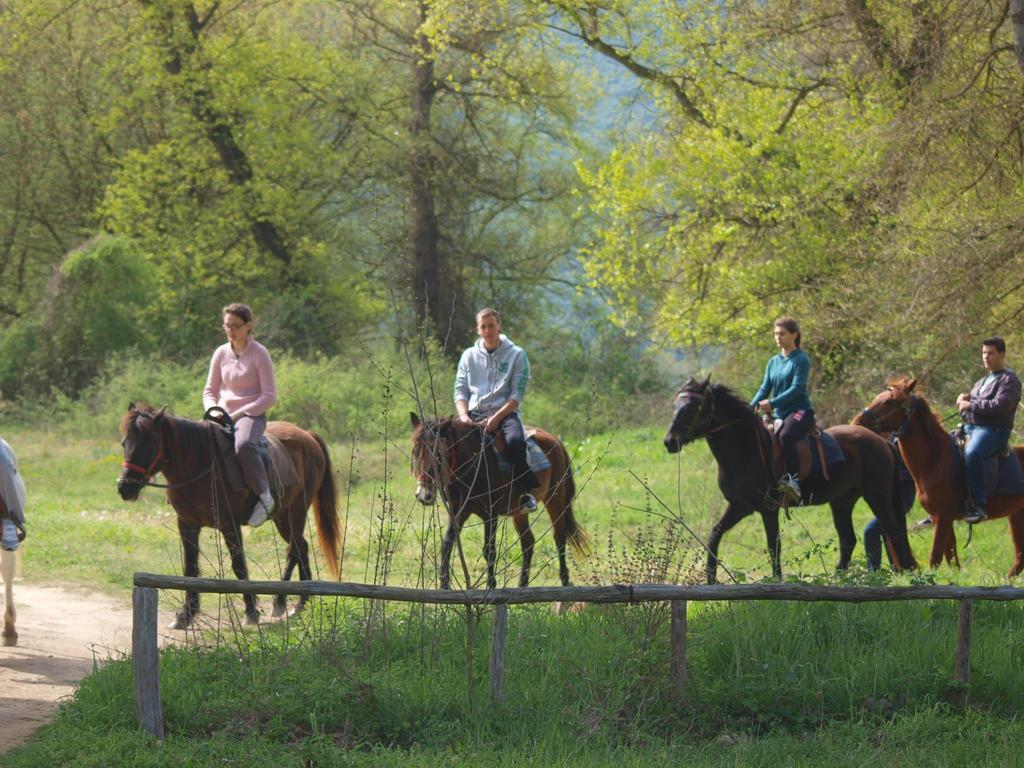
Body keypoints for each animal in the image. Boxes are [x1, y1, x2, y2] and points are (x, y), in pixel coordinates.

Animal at [115, 405, 339, 626]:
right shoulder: (187, 524)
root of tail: (308, 436)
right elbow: (190, 566)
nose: (125, 488)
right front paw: (186, 614)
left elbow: (238, 565)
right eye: (125, 443)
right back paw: (300, 601)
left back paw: (282, 601)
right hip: (283, 517)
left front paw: (251, 612)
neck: (202, 464)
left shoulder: (229, 524)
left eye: (149, 443)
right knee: (301, 547)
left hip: (295, 512)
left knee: (294, 549)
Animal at [405, 415, 585, 589]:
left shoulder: (490, 514)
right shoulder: (458, 513)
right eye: (415, 452)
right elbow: (446, 544)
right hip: (519, 512)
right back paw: (522, 584)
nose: (423, 495)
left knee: (559, 537)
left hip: (555, 500)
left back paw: (565, 580)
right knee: (528, 542)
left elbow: (489, 550)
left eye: (438, 454)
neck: (475, 465)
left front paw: (491, 585)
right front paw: (444, 584)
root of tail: (556, 440)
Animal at [663, 378, 921, 581]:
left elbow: (773, 547)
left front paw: (777, 583)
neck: (745, 449)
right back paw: (838, 579)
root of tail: (882, 441)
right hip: (842, 501)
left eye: (695, 405)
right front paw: (710, 578)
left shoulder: (768, 509)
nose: (669, 442)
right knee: (848, 539)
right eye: (676, 405)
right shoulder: (739, 506)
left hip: (876, 495)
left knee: (893, 530)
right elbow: (714, 534)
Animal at [851, 378, 1024, 577]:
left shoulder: (943, 516)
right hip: (1017, 515)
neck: (935, 459)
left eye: (889, 401)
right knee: (1019, 558)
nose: (857, 422)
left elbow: (935, 558)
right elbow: (951, 558)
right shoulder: (939, 518)